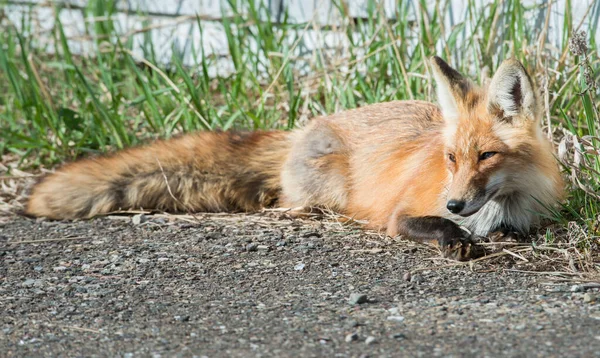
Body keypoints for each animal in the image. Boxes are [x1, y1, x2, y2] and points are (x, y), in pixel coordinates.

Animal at [27, 56, 564, 260]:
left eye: (487, 155)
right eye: (451, 158)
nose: (454, 203)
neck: (499, 208)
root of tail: (300, 129)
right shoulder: (401, 214)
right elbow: (427, 226)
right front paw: (455, 239)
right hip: (328, 189)